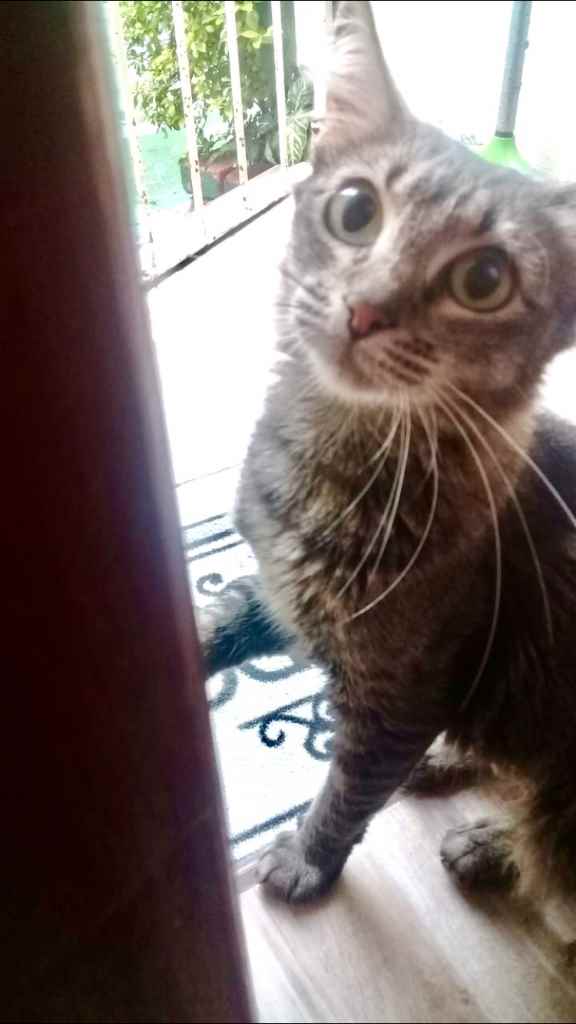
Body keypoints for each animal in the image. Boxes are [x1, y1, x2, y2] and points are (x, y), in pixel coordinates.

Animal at [198, 0, 576, 905]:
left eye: (485, 279)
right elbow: (222, 613)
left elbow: (348, 788)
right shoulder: (277, 587)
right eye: (355, 211)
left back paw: (487, 841)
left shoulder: (401, 693)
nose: (366, 309)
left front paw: (304, 860)